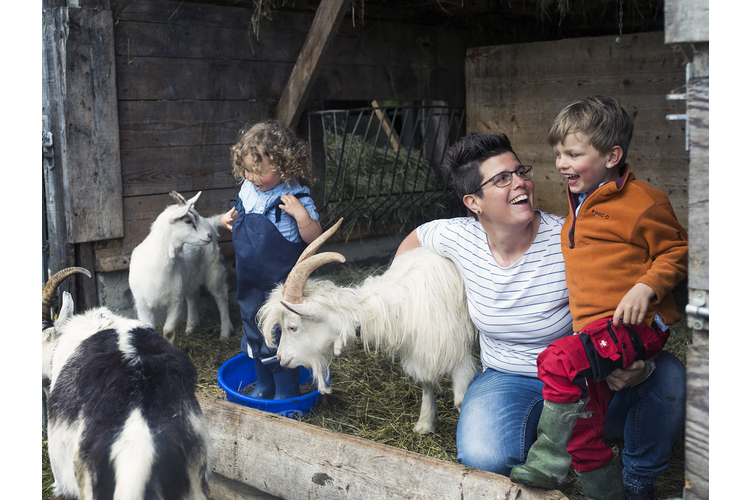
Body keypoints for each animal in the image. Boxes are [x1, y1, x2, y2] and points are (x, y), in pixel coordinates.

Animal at [129, 191, 234, 344]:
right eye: (188, 221)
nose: (208, 236)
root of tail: (209, 222)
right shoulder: (142, 304)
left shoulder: (175, 302)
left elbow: (168, 331)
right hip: (190, 277)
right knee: (192, 296)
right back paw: (190, 328)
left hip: (213, 268)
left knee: (221, 296)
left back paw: (225, 333)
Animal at [258, 219, 482, 434]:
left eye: (292, 327)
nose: (281, 358)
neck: (401, 304)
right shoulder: (420, 351)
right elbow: (426, 383)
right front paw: (424, 424)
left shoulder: (460, 357)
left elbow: (460, 401)